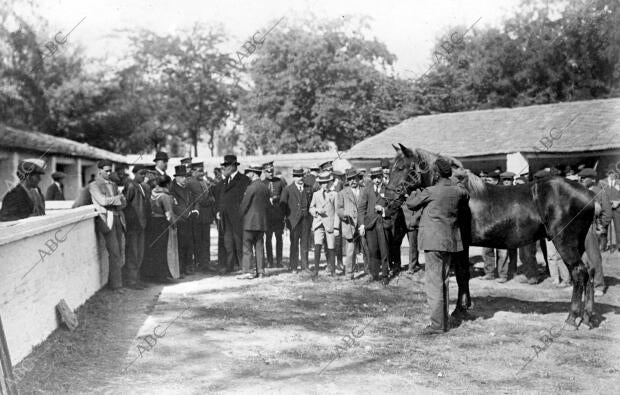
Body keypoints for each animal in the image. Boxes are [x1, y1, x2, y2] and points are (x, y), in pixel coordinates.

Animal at [388, 144, 596, 330]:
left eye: (401, 167)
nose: (388, 199)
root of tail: (589, 195)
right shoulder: (464, 246)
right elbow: (464, 275)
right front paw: (464, 308)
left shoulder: (460, 244)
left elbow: (461, 275)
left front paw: (458, 311)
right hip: (580, 245)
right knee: (590, 272)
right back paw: (587, 318)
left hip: (565, 244)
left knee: (579, 273)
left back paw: (572, 319)